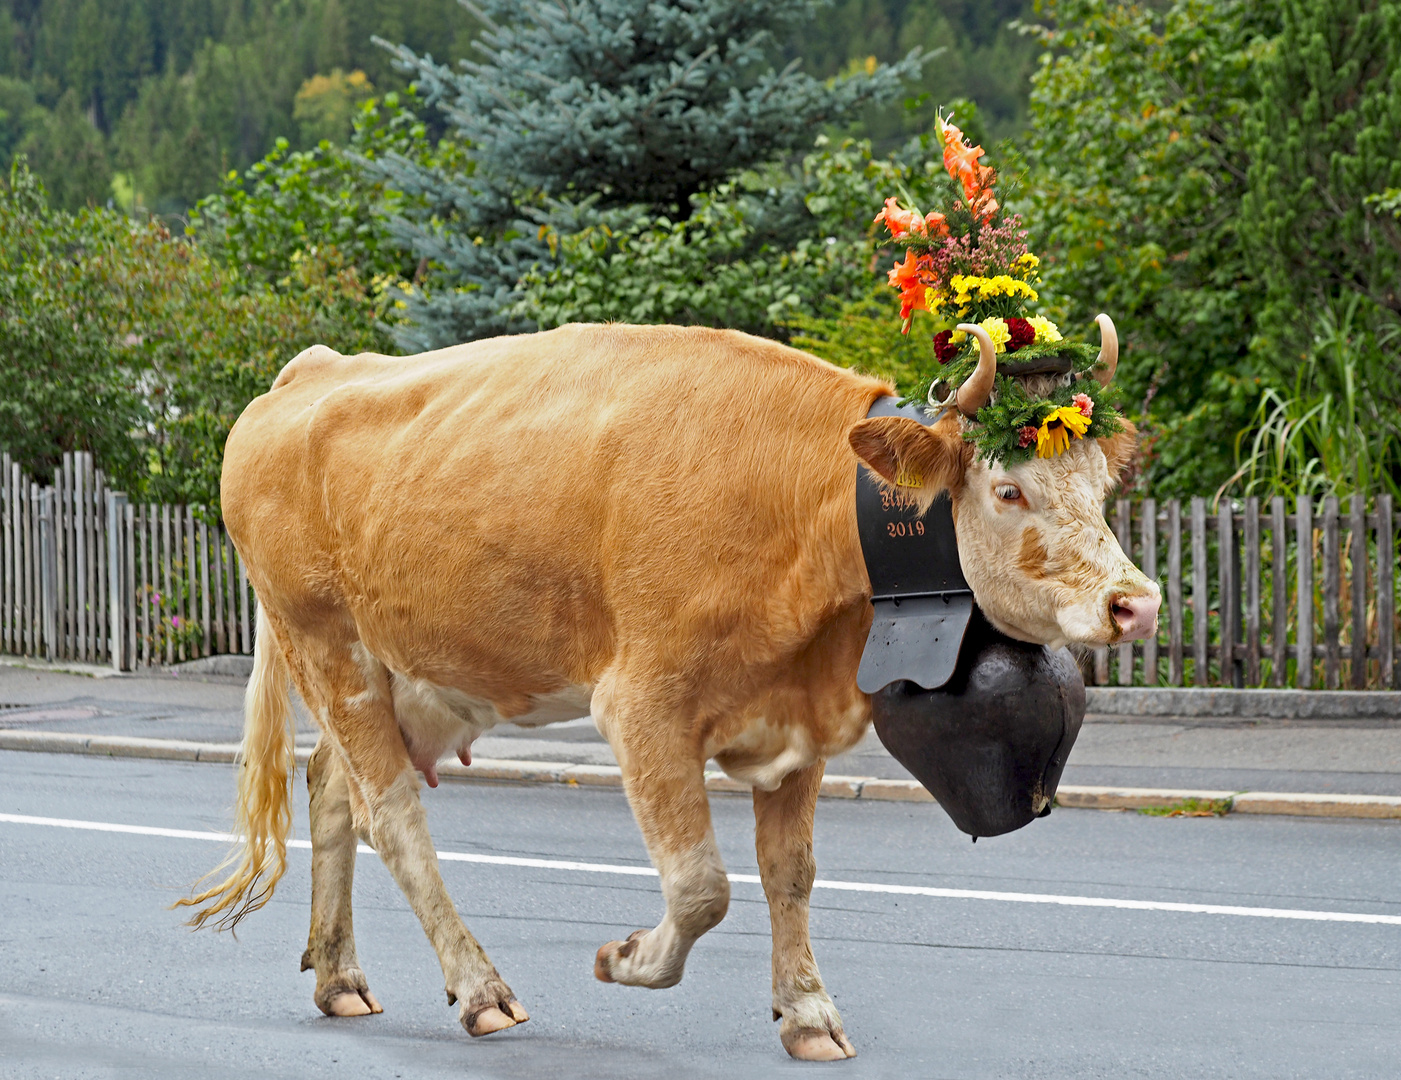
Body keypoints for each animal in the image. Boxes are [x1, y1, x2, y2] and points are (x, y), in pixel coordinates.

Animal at [183, 320, 1160, 1064]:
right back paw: (481, 989)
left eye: (1101, 483)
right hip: (325, 642)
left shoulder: (794, 719)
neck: (789, 499)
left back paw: (341, 977)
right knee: (391, 816)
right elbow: (701, 886)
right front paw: (626, 958)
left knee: (331, 790)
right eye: (1007, 489)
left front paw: (807, 1013)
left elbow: (789, 872)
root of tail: (314, 370)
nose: (1135, 602)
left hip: (410, 672)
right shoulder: (641, 705)